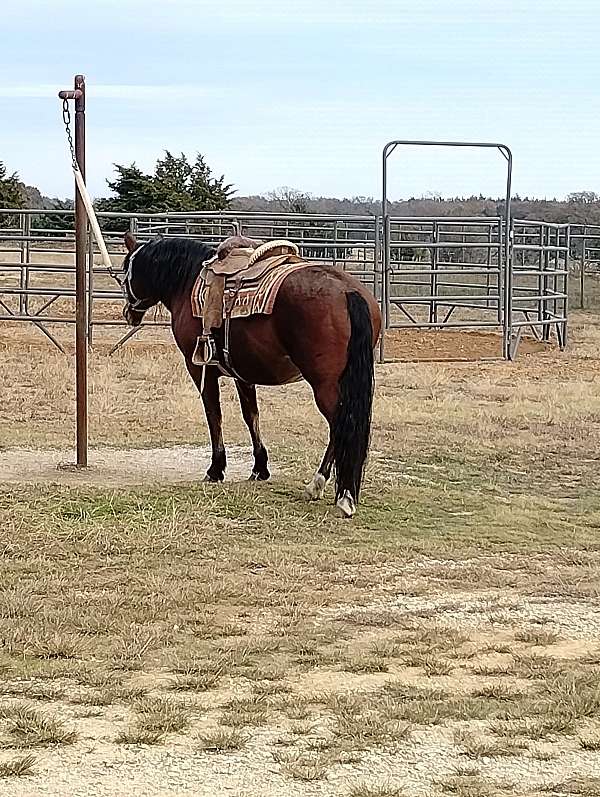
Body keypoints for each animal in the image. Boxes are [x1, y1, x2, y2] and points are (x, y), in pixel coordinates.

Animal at [118, 232, 380, 516]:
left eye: (126, 270)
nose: (128, 313)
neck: (186, 284)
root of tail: (348, 291)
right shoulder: (242, 374)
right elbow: (250, 415)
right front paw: (260, 467)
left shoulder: (200, 368)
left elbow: (214, 415)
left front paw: (216, 469)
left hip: (325, 385)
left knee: (340, 427)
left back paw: (329, 490)